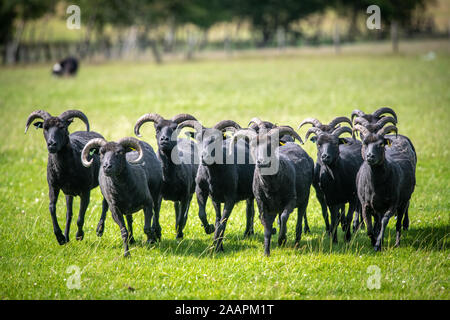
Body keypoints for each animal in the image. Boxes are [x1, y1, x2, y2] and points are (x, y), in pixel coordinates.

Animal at [24, 109, 108, 244]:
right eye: (45, 127)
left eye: (62, 127)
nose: (51, 144)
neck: (65, 169)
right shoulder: (53, 186)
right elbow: (52, 208)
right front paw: (60, 237)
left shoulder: (85, 190)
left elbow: (80, 216)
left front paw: (79, 235)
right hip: (69, 193)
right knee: (69, 213)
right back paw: (67, 237)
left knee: (105, 203)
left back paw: (99, 230)